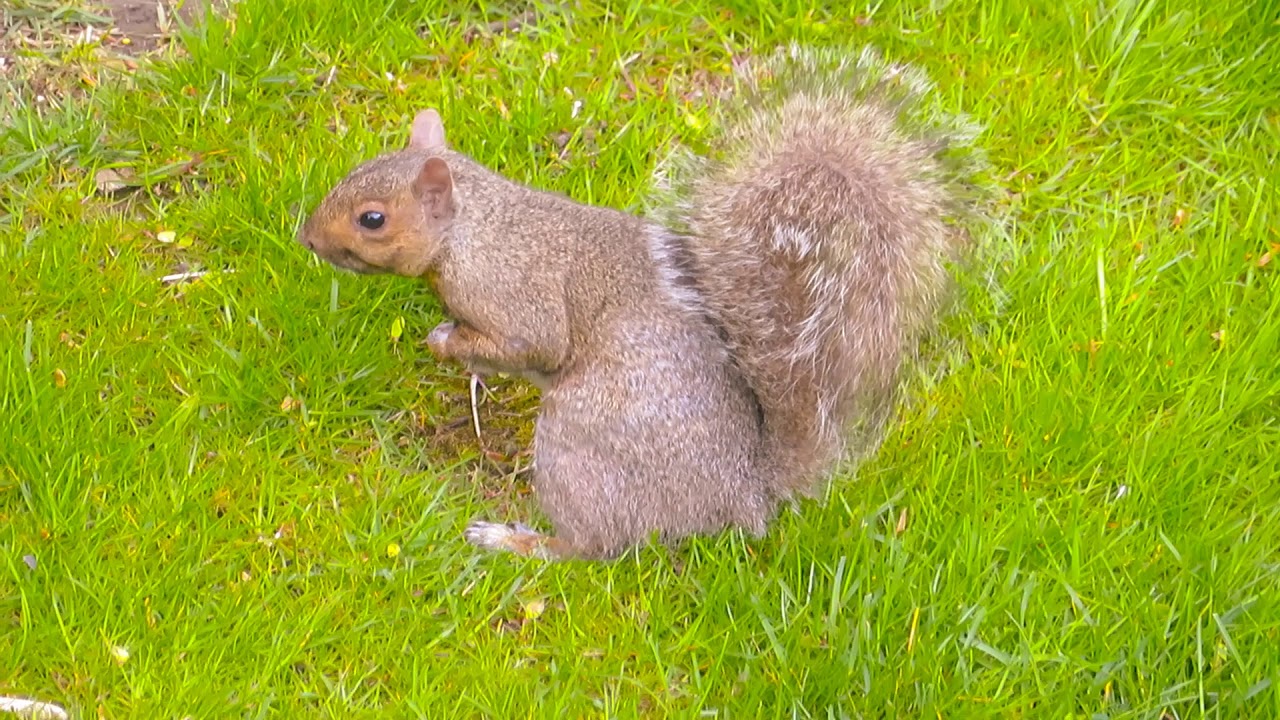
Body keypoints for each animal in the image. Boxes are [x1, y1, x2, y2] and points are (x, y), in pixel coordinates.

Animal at [296, 44, 989, 561]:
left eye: (373, 219)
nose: (307, 238)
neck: (472, 225)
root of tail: (742, 494)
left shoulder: (512, 292)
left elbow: (528, 342)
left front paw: (447, 344)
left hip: (579, 441)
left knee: (592, 546)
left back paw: (511, 540)